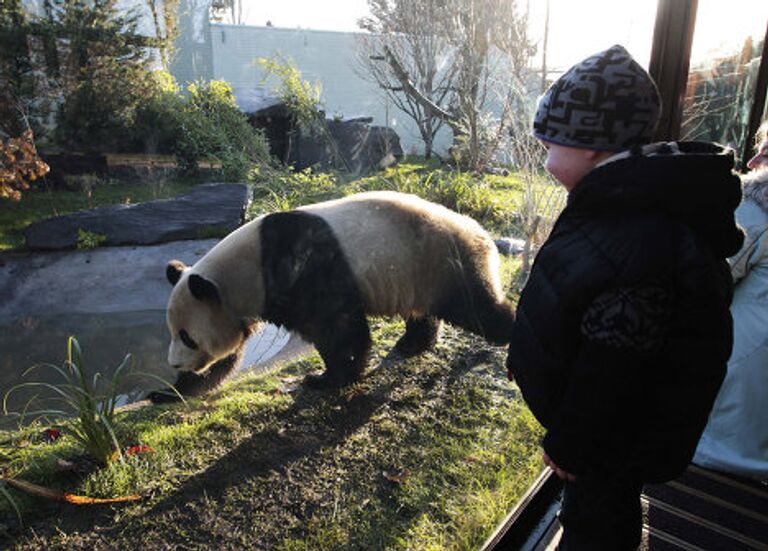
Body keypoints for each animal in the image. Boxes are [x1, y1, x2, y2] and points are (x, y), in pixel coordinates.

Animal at [151, 190, 516, 402]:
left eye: (188, 337)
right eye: (172, 333)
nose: (174, 362)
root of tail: (479, 231)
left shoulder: (302, 271)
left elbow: (337, 328)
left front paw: (327, 378)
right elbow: (228, 358)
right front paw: (170, 391)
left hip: (440, 259)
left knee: (476, 307)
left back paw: (510, 332)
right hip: (420, 272)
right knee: (424, 311)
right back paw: (412, 344)